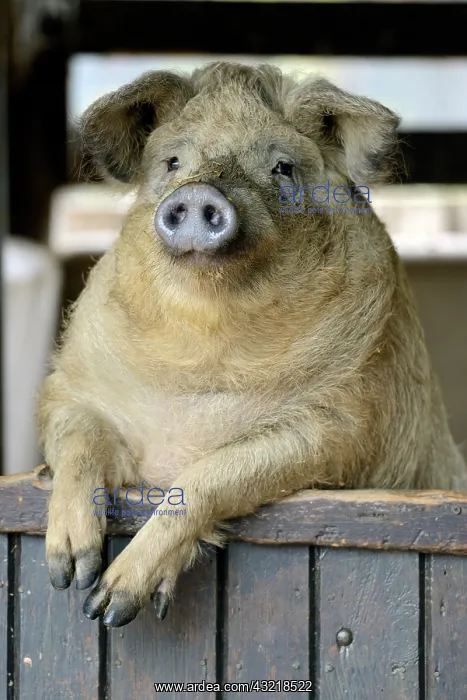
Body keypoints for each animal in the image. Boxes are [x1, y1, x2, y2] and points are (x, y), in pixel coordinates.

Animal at [37, 62, 467, 628]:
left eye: (282, 168)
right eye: (173, 162)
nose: (200, 193)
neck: (205, 356)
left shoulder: (341, 428)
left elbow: (212, 474)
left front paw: (109, 606)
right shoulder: (71, 386)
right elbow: (77, 435)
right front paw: (70, 577)